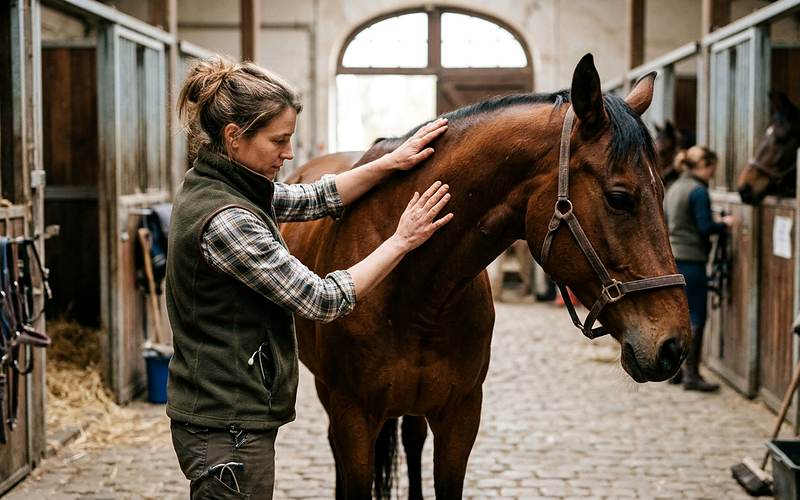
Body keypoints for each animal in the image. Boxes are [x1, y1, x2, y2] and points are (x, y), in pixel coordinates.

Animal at [281, 54, 691, 499]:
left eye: (664, 190)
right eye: (619, 198)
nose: (674, 346)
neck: (415, 294)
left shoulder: (460, 418)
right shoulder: (353, 418)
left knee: (412, 439)